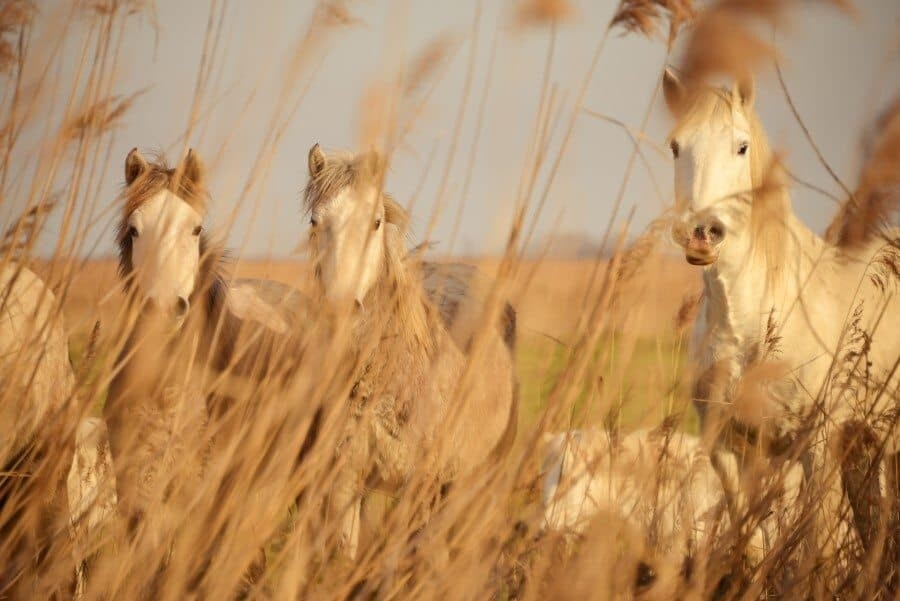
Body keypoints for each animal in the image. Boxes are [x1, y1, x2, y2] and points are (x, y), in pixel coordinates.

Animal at [660, 68, 900, 576]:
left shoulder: (816, 444)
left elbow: (818, 548)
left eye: (742, 146)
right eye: (675, 146)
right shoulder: (729, 446)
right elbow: (751, 541)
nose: (701, 233)